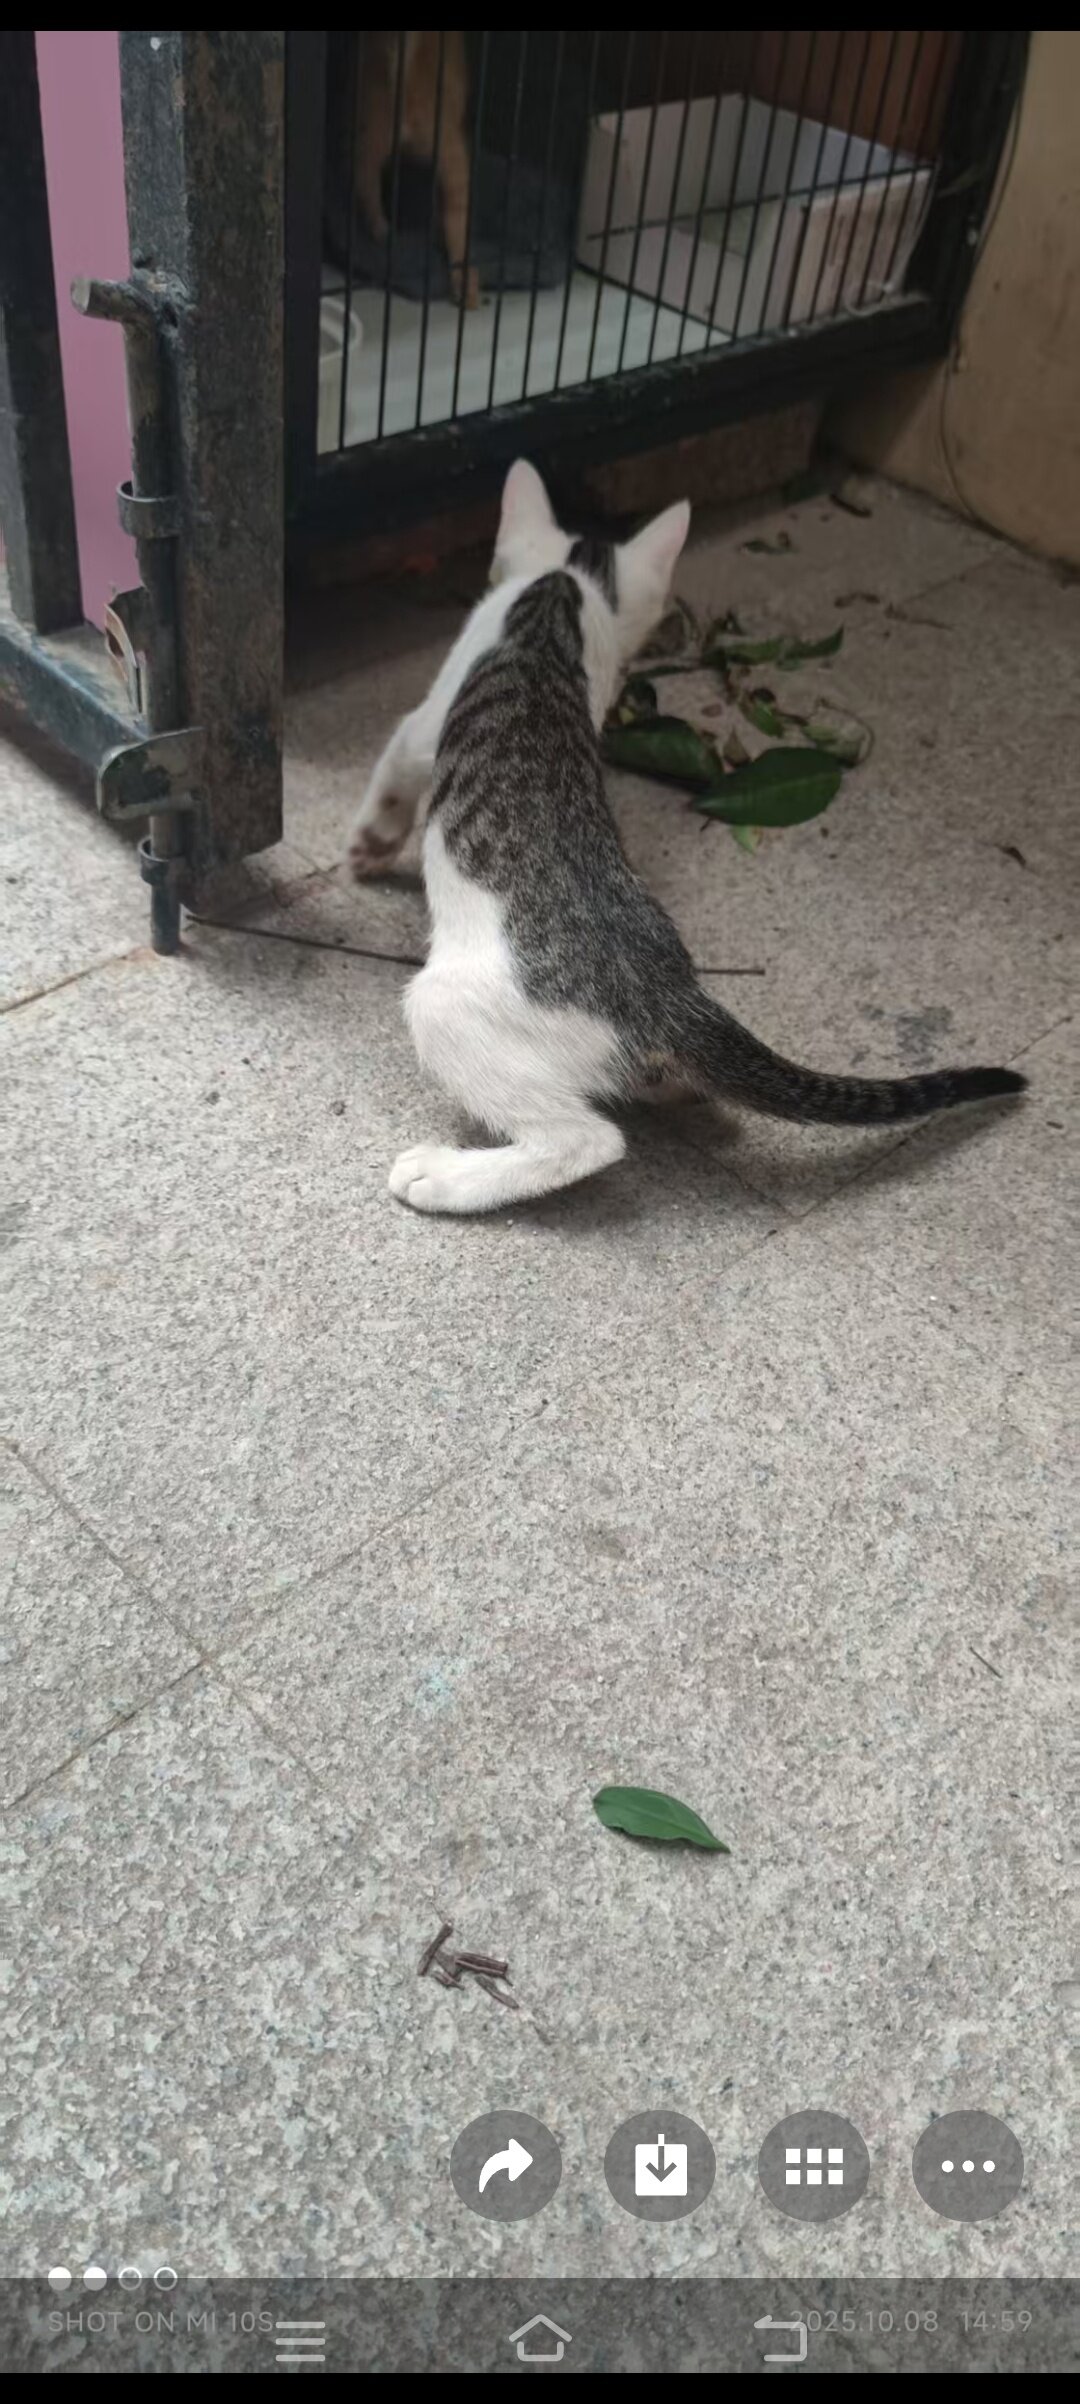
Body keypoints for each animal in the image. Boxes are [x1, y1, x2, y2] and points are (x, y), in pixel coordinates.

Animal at [348, 460, 1026, 1214]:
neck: (564, 591)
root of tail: (673, 996)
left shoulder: (425, 725)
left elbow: (396, 774)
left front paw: (368, 846)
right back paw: (679, 1089)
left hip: (445, 1004)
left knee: (587, 1140)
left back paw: (447, 1177)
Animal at [353, 31, 479, 310]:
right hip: (452, 151)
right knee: (457, 222)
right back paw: (467, 288)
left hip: (371, 138)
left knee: (366, 185)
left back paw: (383, 232)